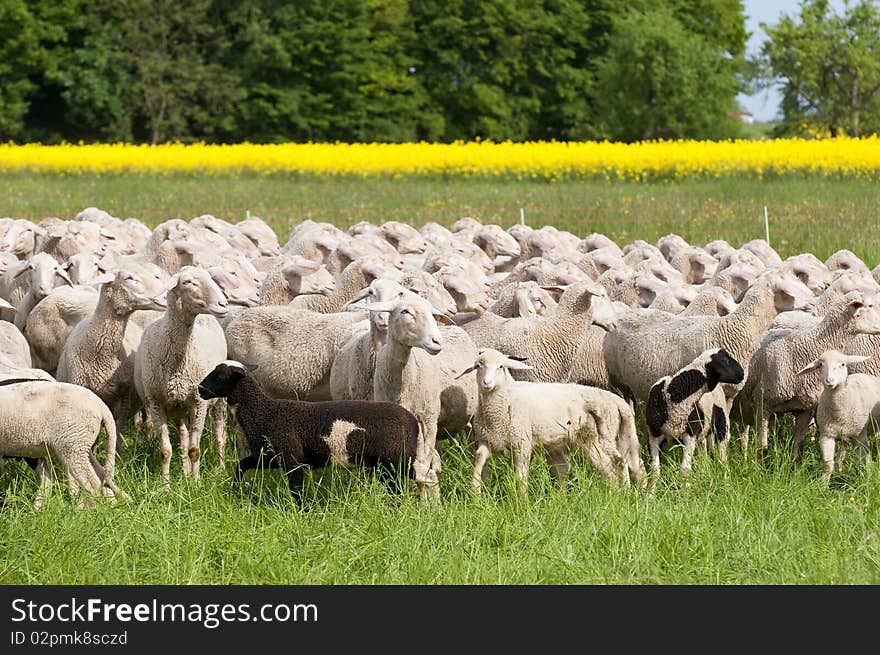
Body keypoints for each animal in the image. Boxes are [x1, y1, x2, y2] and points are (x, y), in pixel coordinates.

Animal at [134, 266, 230, 486]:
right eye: (187, 282)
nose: (223, 304)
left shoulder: (199, 403)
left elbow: (195, 450)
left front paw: (196, 484)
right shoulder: (156, 403)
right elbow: (166, 450)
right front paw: (166, 486)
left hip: (217, 401)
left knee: (220, 434)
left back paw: (220, 468)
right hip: (179, 406)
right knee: (184, 437)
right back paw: (185, 473)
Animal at [198, 364, 424, 502]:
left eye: (220, 375)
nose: (199, 389)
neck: (263, 411)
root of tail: (413, 422)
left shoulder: (291, 457)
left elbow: (296, 487)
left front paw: (301, 511)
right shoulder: (269, 456)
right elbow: (242, 464)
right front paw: (236, 489)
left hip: (396, 460)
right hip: (387, 465)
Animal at [460, 348, 648, 492]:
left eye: (500, 366)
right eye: (478, 366)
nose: (486, 383)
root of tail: (617, 401)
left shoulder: (522, 443)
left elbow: (520, 476)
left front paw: (521, 499)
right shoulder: (486, 440)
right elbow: (479, 459)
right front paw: (475, 490)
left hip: (601, 437)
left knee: (614, 463)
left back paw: (620, 493)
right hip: (590, 440)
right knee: (623, 464)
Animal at [648, 352, 744, 484]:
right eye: (726, 360)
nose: (743, 374)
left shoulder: (690, 434)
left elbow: (685, 471)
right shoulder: (654, 435)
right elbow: (654, 470)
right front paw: (650, 490)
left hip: (722, 427)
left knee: (722, 458)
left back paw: (726, 482)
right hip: (703, 435)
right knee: (704, 458)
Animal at [796, 352, 880, 484]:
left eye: (843, 364)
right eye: (820, 365)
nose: (829, 380)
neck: (838, 412)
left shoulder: (860, 436)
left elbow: (864, 460)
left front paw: (866, 481)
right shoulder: (826, 435)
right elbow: (827, 465)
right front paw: (823, 486)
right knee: (843, 449)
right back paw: (839, 468)